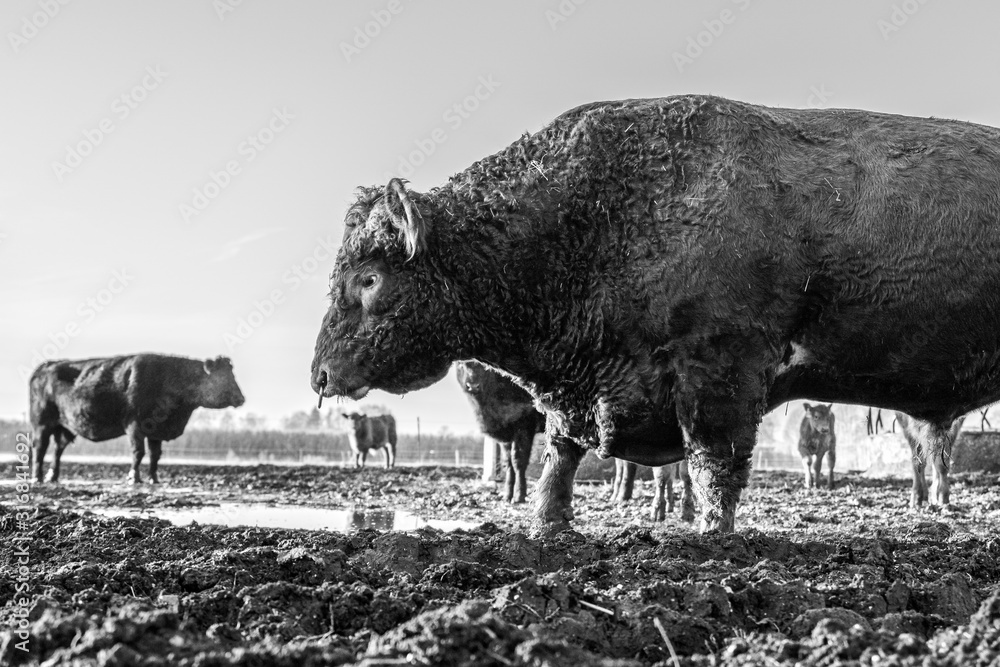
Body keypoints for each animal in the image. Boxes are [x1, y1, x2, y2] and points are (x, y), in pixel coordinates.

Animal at [29, 354, 245, 484]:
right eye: (225, 378)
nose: (241, 398)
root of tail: (46, 365)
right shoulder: (135, 425)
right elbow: (138, 452)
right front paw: (134, 477)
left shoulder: (157, 430)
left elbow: (155, 455)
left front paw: (153, 479)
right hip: (41, 424)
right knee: (40, 449)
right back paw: (37, 477)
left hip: (65, 427)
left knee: (57, 449)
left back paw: (52, 476)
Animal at [456, 361, 545, 503]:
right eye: (460, 364)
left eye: (484, 366)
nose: (473, 386)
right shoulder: (506, 437)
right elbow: (508, 463)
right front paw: (507, 495)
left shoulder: (524, 427)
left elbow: (518, 461)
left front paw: (519, 495)